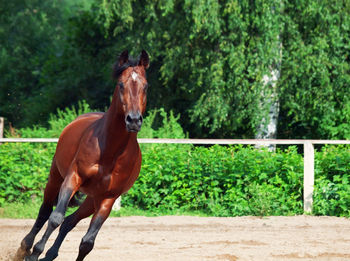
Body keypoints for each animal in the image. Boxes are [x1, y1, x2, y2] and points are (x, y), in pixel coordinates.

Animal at [15, 49, 150, 258]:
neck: (110, 151)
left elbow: (87, 242)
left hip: (92, 199)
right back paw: (25, 248)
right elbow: (55, 217)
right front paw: (34, 253)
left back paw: (50, 255)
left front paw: (43, 254)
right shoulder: (73, 178)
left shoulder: (108, 198)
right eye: (121, 85)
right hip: (56, 178)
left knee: (70, 221)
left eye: (145, 86)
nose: (134, 120)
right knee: (45, 211)